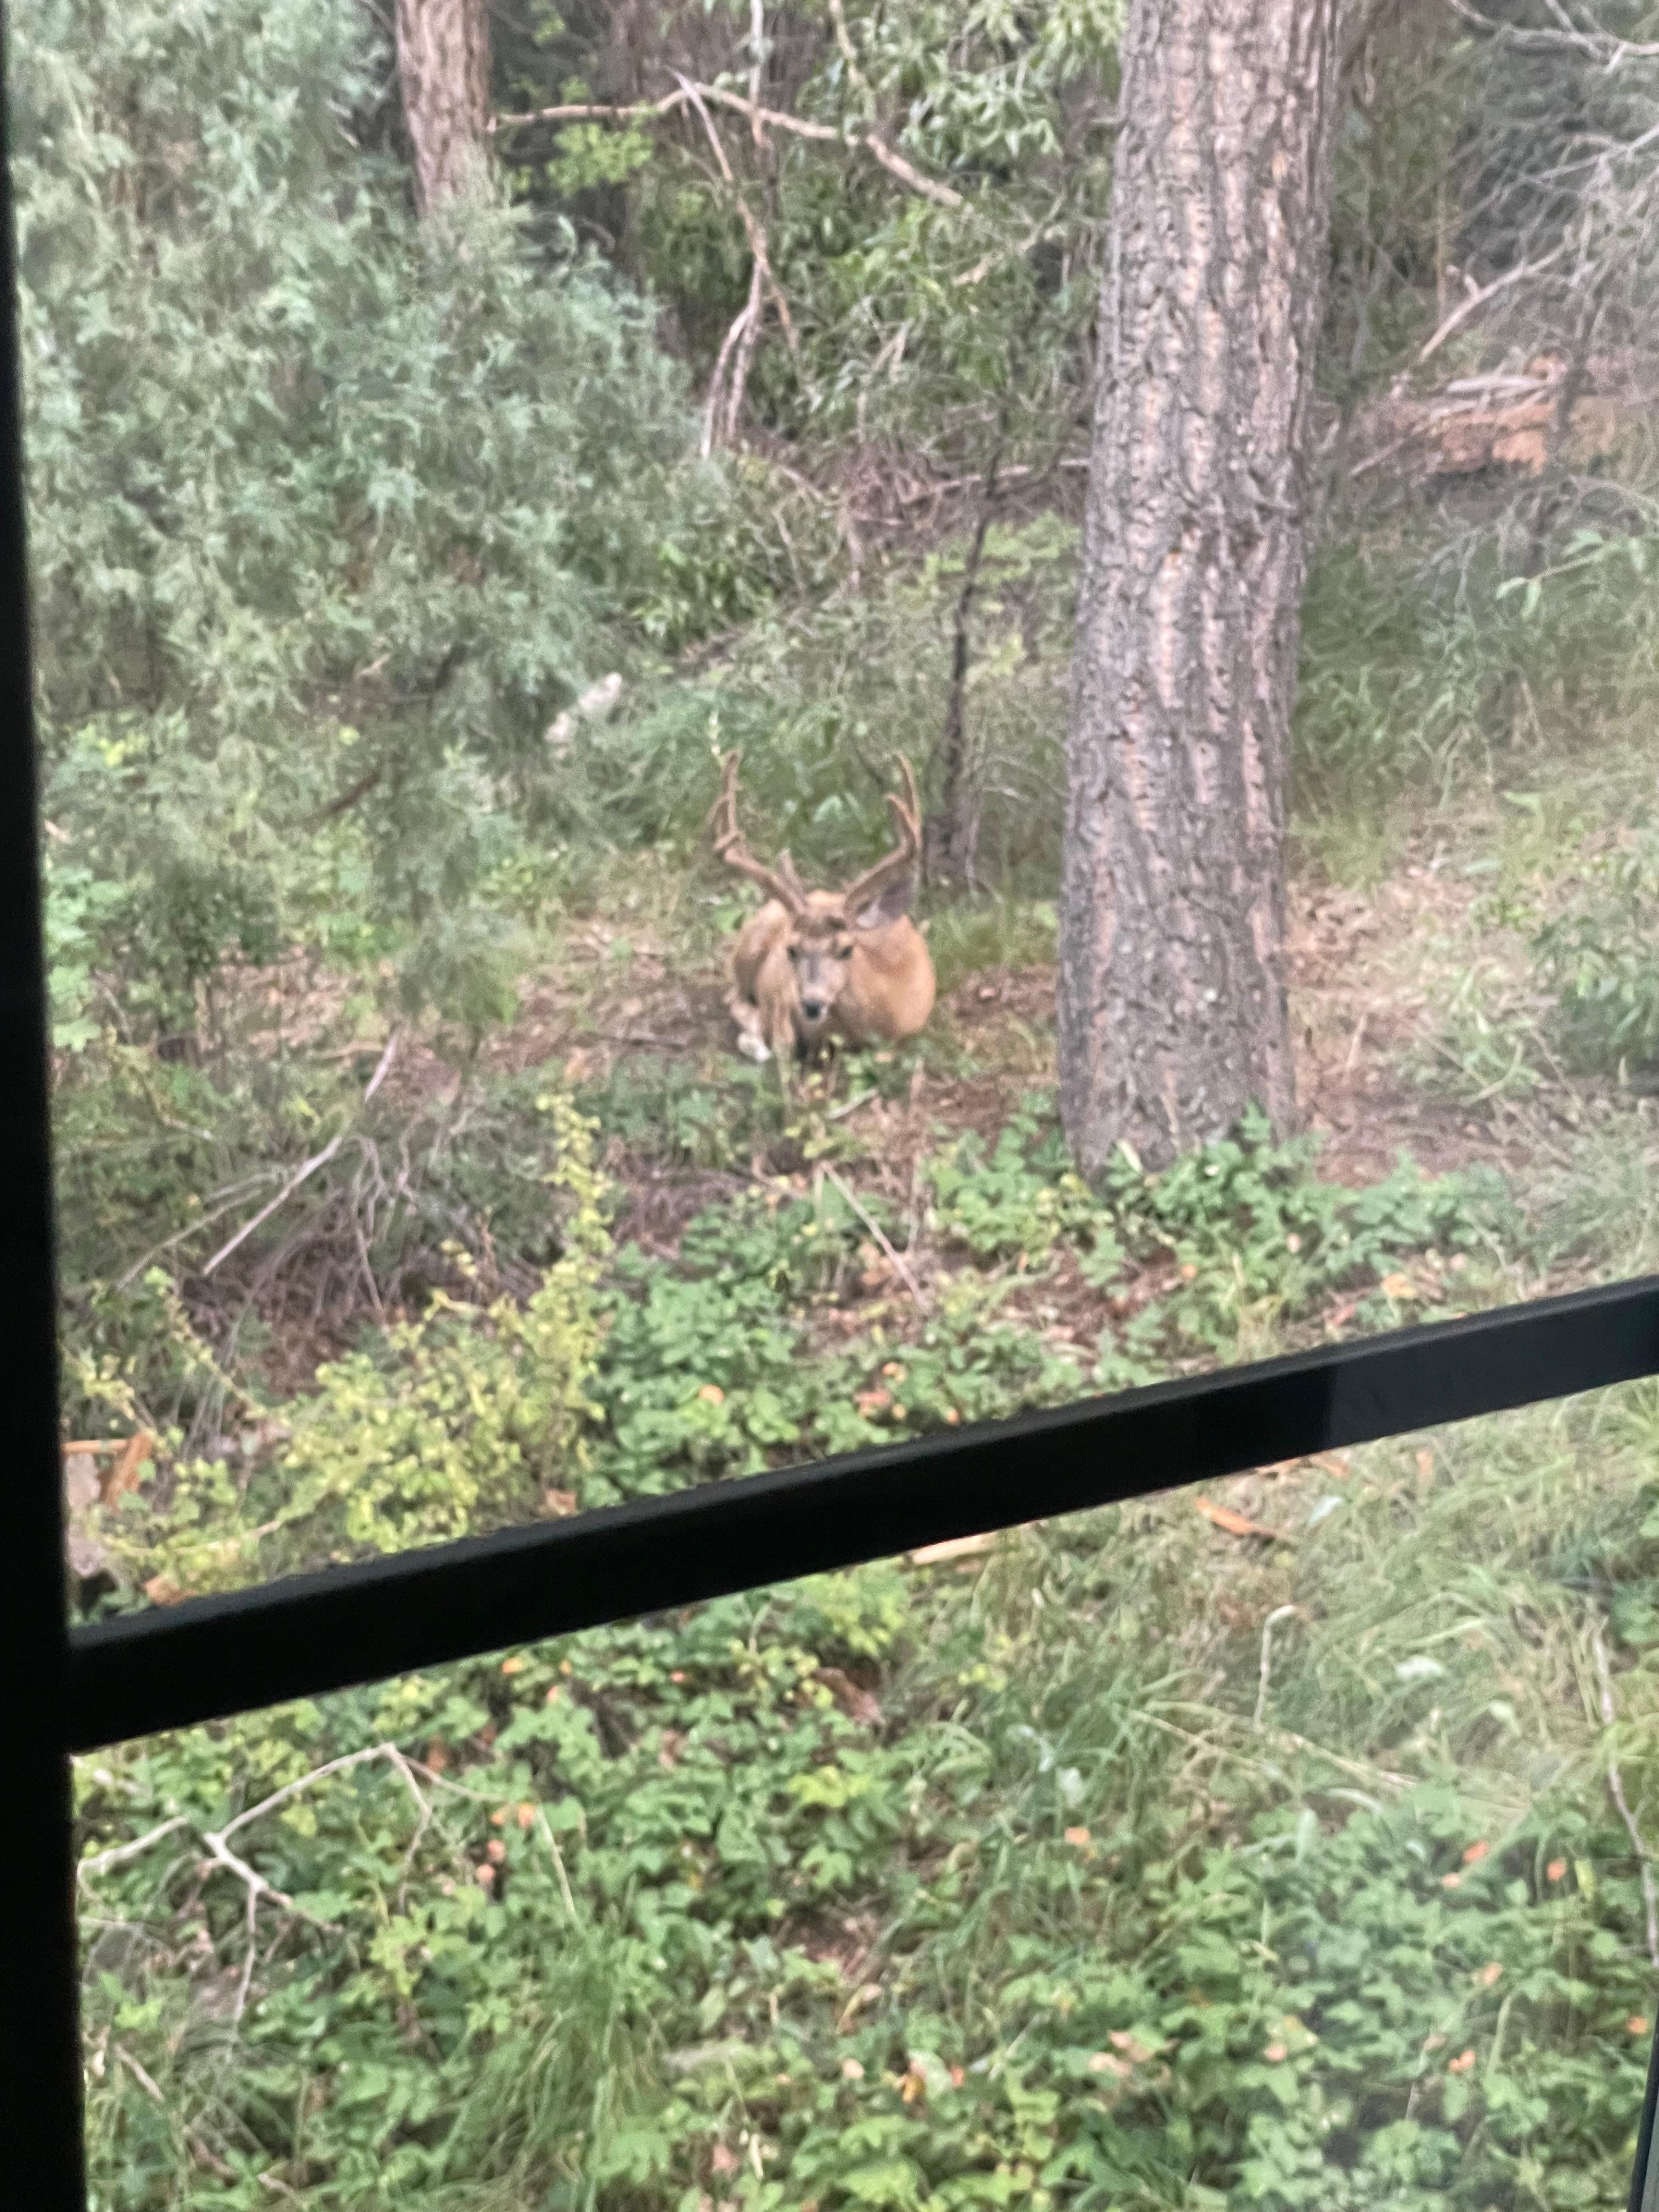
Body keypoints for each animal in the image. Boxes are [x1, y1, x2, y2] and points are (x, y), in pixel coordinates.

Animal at [711, 751, 935, 1074]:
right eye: (791, 950)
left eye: (846, 949)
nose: (812, 1005)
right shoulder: (783, 1001)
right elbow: (781, 1045)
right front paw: (762, 1044)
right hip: (752, 943)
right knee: (733, 998)